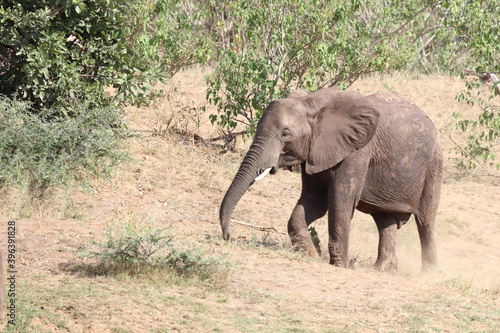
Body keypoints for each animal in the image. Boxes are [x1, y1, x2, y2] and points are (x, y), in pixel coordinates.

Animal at [219, 87, 442, 272]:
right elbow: (314, 202)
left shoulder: (357, 151)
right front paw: (311, 255)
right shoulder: (314, 152)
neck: (312, 104)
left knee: (425, 222)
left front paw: (339, 265)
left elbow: (339, 202)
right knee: (384, 220)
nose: (227, 237)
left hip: (434, 166)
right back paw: (382, 270)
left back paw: (429, 274)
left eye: (285, 134)